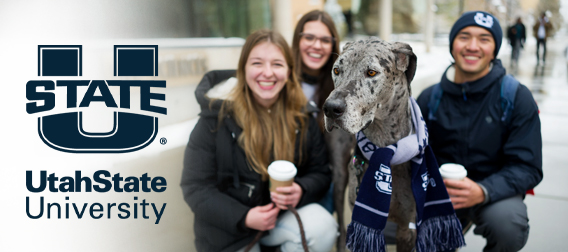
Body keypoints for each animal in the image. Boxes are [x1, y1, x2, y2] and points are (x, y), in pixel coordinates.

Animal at [324, 37, 418, 252]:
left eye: (371, 72)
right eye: (336, 70)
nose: (331, 108)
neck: (385, 149)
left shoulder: (407, 229)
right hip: (340, 176)